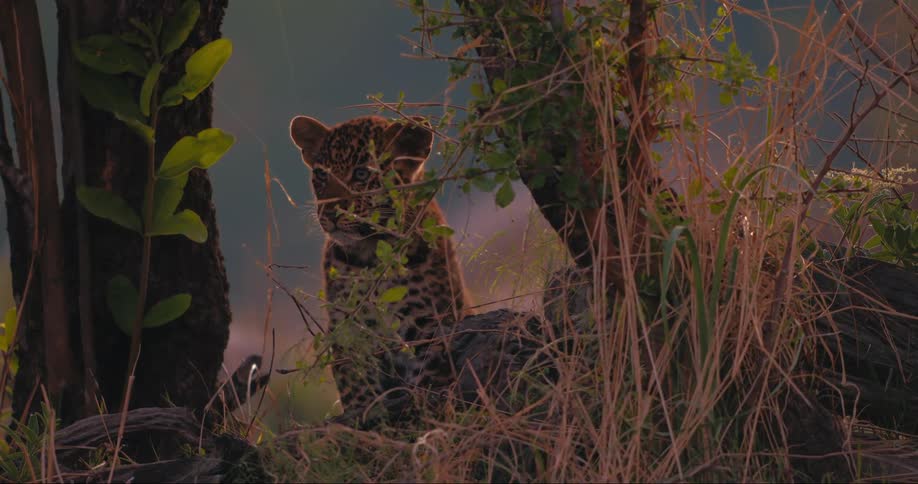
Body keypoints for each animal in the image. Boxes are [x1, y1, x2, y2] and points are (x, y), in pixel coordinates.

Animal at [289, 114, 472, 427]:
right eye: (322, 175)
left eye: (362, 174)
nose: (331, 213)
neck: (371, 254)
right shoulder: (348, 328)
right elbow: (356, 382)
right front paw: (363, 413)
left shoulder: (429, 323)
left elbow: (428, 379)